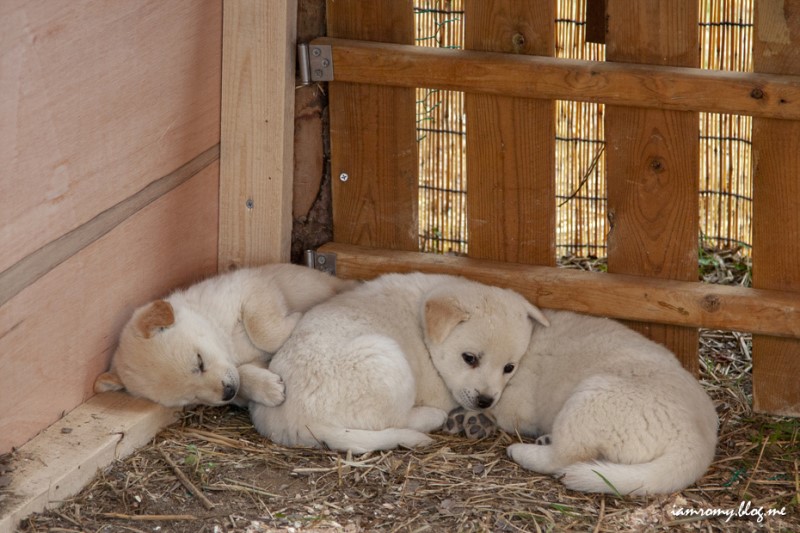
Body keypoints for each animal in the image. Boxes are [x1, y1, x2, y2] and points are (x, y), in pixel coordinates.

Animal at [94, 262, 354, 408]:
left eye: (199, 362)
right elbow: (244, 373)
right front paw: (267, 388)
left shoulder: (252, 287)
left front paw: (299, 317)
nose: (227, 393)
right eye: (191, 398)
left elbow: (264, 333)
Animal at [250, 274, 552, 454]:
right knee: (393, 420)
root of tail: (299, 422)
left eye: (509, 368)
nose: (485, 401)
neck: (425, 330)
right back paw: (433, 418)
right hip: (387, 361)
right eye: (469, 358)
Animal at [446, 308, 716, 494]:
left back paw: (522, 451)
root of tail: (698, 441)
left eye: (470, 358)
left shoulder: (515, 403)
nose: (483, 400)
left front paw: (471, 416)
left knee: (562, 458)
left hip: (590, 398)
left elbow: (498, 407)